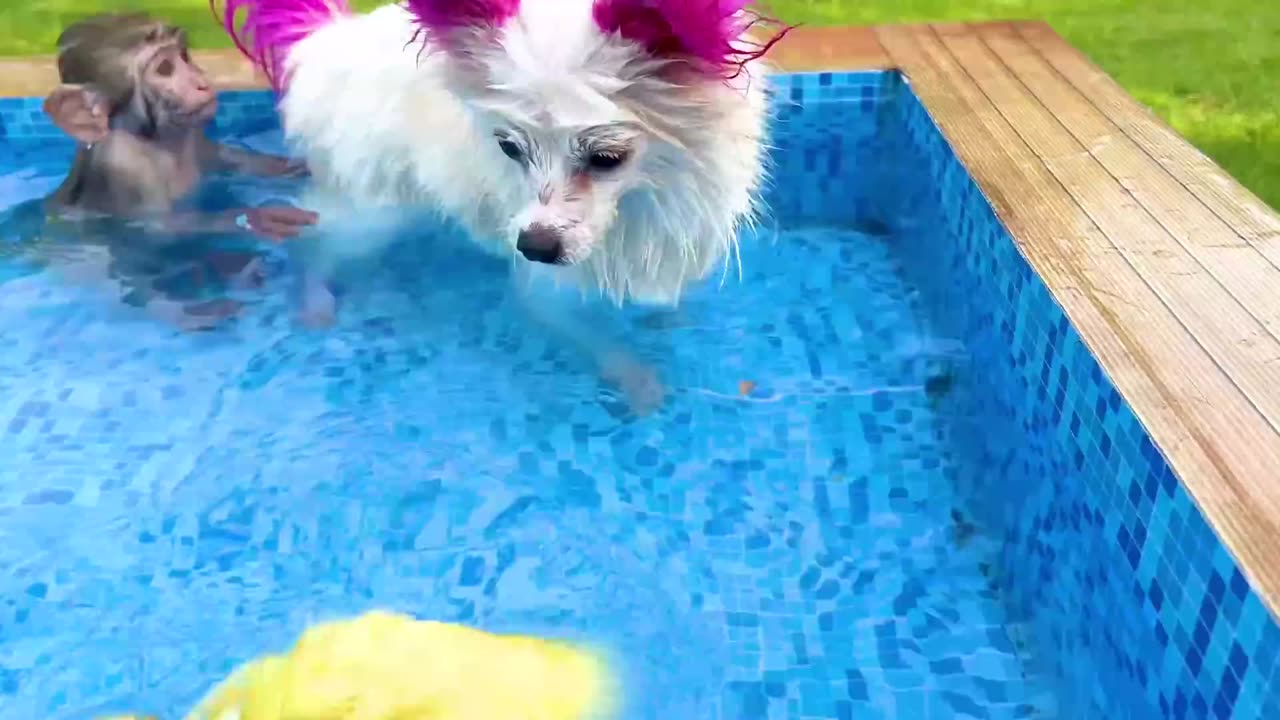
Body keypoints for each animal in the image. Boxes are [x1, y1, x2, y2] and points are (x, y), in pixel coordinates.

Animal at [216, 0, 783, 404]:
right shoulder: (546, 289)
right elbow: (594, 335)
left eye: (606, 158)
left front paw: (667, 320)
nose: (534, 245)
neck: (642, 199)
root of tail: (324, 44)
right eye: (509, 148)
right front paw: (635, 376)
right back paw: (314, 296)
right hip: (373, 212)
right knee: (311, 235)